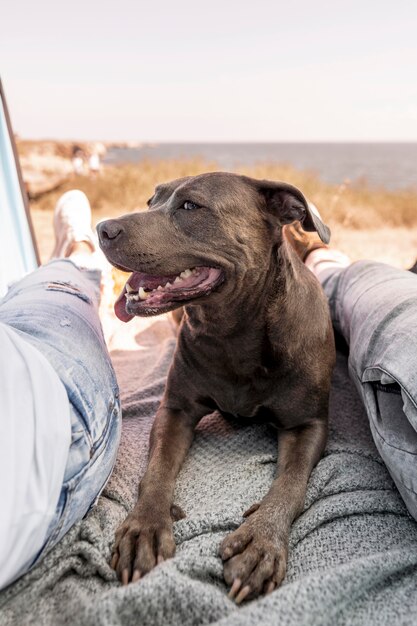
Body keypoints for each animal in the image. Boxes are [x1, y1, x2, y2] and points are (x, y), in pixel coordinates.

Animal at [97, 171, 334, 600]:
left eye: (190, 206)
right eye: (151, 201)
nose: (102, 228)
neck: (233, 333)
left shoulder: (307, 425)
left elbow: (291, 483)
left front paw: (261, 540)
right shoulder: (175, 410)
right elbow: (156, 470)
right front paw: (145, 526)